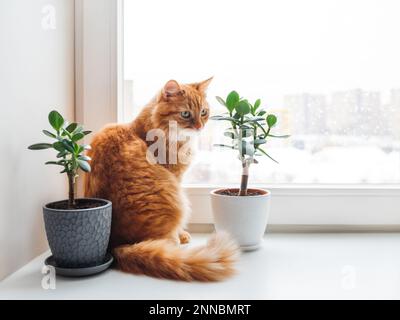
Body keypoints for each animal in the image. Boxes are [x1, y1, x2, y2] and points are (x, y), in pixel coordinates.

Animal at [85, 77, 239, 280]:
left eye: (203, 112)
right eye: (185, 114)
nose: (199, 127)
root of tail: (115, 245)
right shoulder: (176, 176)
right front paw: (182, 235)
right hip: (176, 198)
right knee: (166, 242)